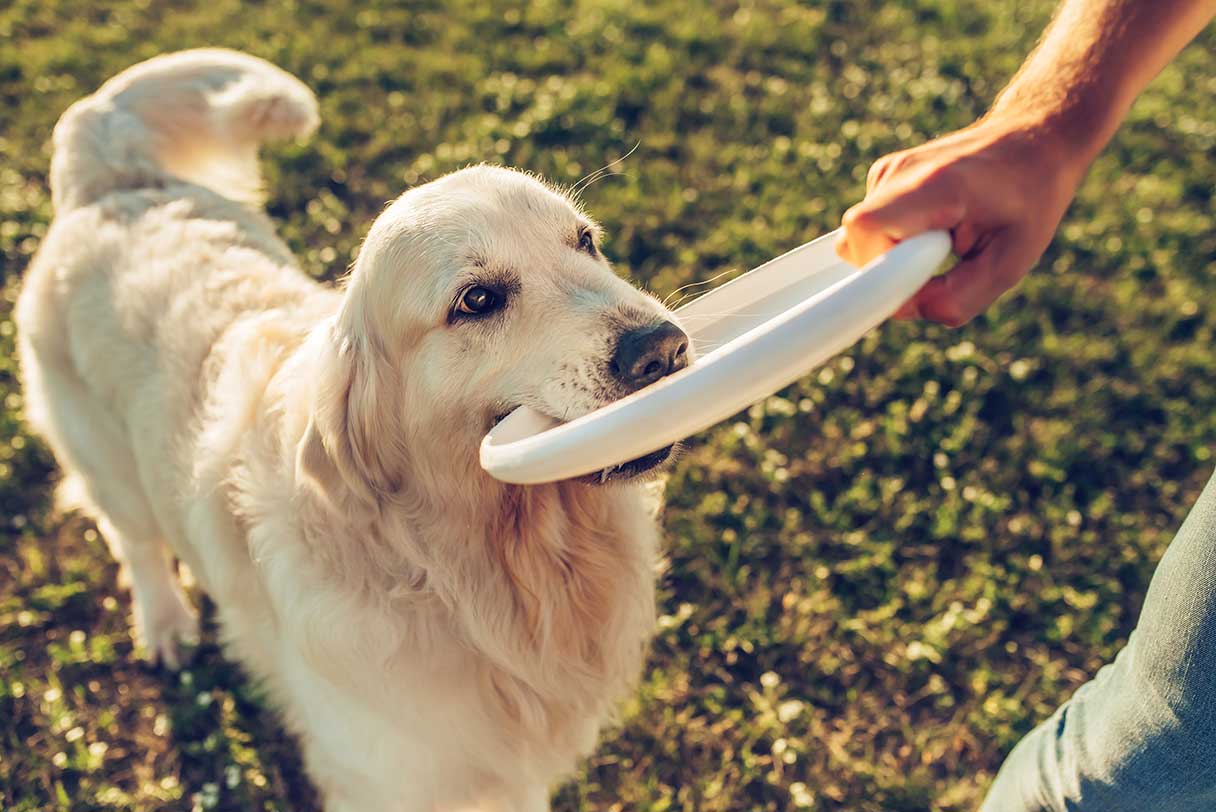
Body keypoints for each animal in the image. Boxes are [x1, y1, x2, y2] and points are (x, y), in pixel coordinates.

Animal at [19, 50, 690, 812]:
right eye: (477, 299)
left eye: (585, 242)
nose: (663, 349)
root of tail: (110, 173)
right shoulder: (388, 776)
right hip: (106, 462)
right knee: (132, 538)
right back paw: (165, 624)